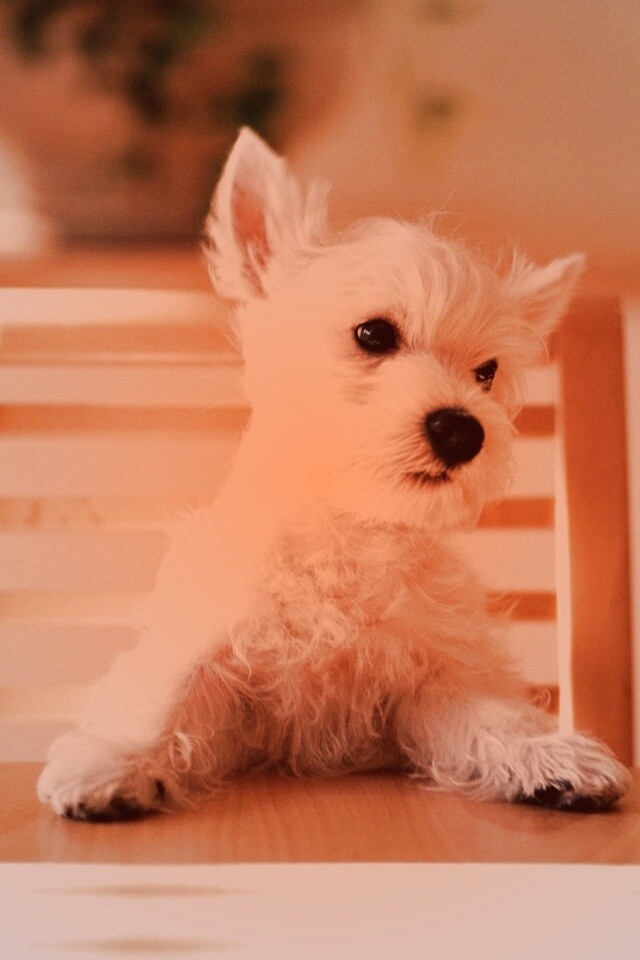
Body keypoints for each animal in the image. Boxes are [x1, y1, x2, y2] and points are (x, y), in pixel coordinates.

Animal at [38, 128, 629, 820]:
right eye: (373, 333)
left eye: (486, 372)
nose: (464, 431)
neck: (348, 529)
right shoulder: (215, 654)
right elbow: (166, 698)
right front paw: (114, 761)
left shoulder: (434, 679)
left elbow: (492, 716)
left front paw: (551, 756)